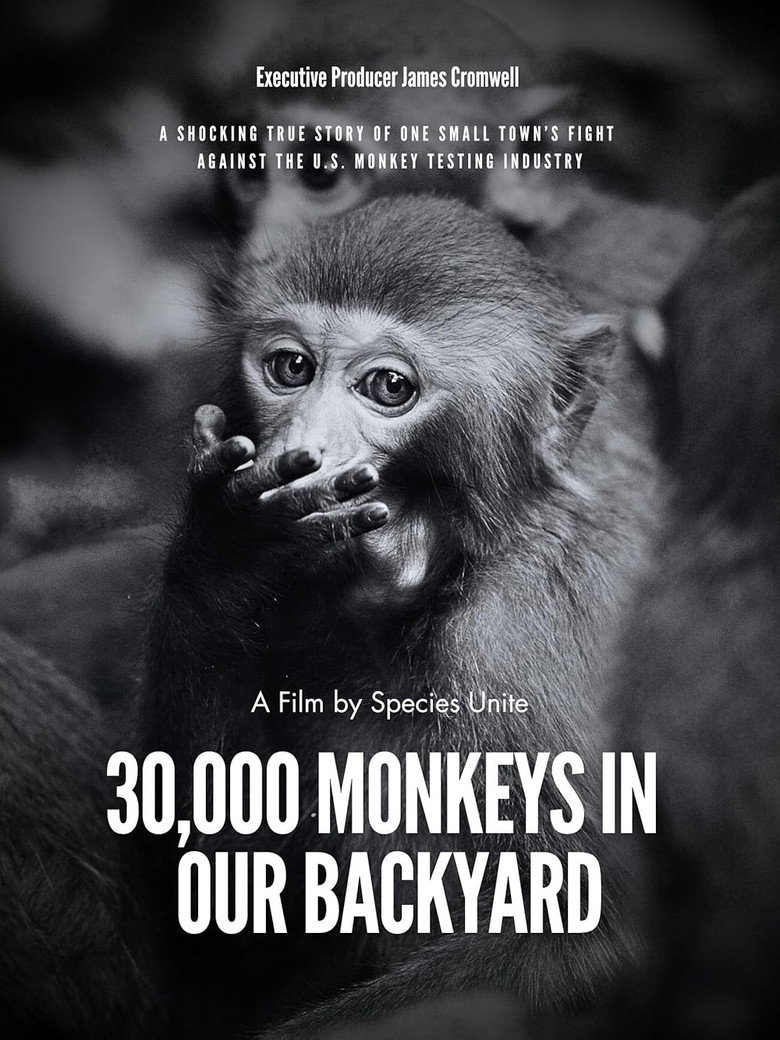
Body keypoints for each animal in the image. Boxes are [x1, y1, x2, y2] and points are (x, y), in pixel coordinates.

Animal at [133, 193, 659, 1039]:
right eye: (290, 369)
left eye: (387, 387)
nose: (305, 450)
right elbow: (233, 936)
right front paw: (227, 549)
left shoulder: (521, 642)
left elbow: (594, 943)